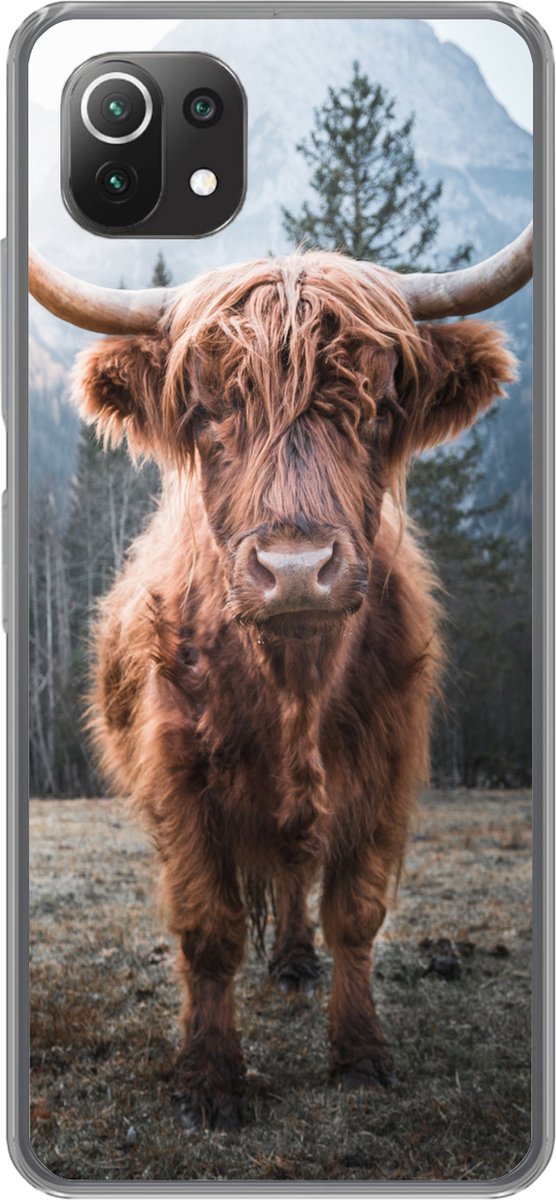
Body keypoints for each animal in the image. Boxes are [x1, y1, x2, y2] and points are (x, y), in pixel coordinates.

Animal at [29, 225, 532, 1132]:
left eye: (378, 406)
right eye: (206, 410)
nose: (296, 570)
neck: (295, 685)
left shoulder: (385, 773)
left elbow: (356, 916)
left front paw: (361, 1055)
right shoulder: (180, 782)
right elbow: (210, 929)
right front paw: (207, 1079)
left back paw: (297, 963)